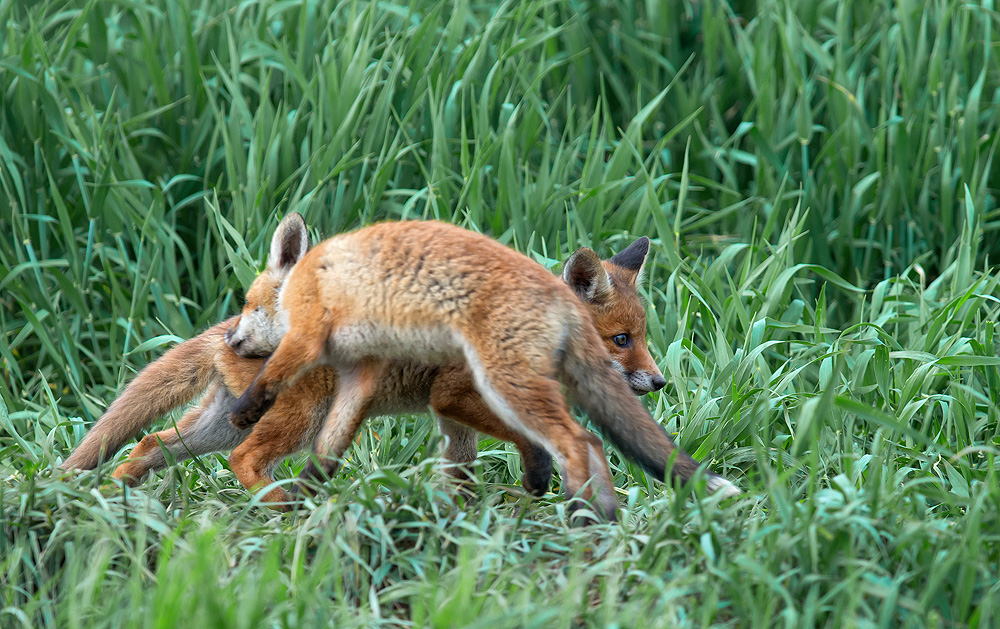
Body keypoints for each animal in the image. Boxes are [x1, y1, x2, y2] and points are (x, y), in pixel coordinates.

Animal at [60, 213, 696, 512]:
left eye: (642, 337)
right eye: (620, 340)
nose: (659, 381)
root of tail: (227, 335)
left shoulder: (452, 419)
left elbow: (460, 475)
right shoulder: (455, 397)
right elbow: (523, 441)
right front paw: (536, 479)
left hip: (222, 425)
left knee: (152, 443)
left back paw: (117, 495)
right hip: (295, 418)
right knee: (244, 458)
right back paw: (282, 504)